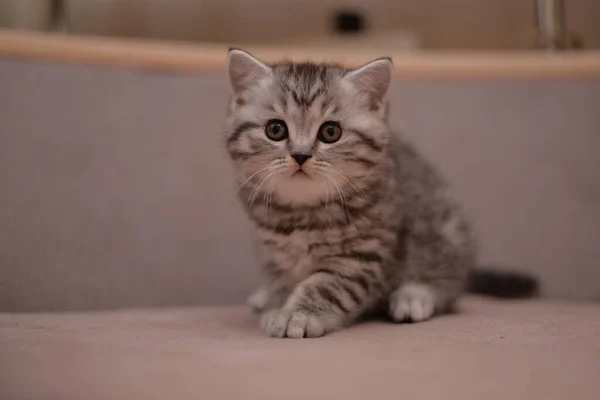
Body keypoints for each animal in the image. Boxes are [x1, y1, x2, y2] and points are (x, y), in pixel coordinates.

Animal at [225, 49, 478, 338]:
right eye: (275, 130)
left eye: (330, 132)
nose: (300, 155)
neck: (302, 213)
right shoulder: (273, 253)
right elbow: (281, 282)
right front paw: (277, 305)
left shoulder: (362, 256)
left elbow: (326, 286)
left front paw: (297, 315)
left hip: (445, 232)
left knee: (447, 280)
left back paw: (414, 296)